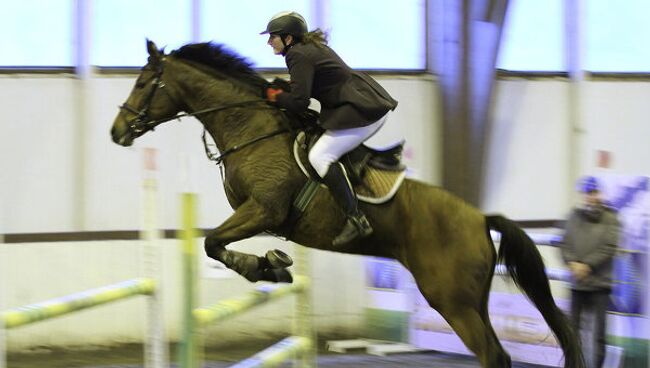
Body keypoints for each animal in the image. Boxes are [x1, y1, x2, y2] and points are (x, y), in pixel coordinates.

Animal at [110, 41, 584, 368]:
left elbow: (212, 243)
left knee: (490, 353)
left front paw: (264, 266)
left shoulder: (263, 210)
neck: (251, 125)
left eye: (142, 83)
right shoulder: (255, 214)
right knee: (495, 353)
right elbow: (217, 245)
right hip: (470, 299)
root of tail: (480, 217)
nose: (117, 132)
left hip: (450, 299)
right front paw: (274, 263)